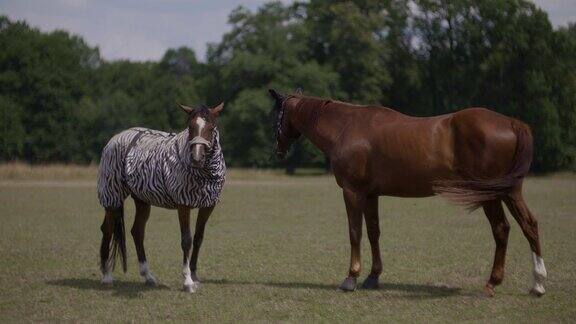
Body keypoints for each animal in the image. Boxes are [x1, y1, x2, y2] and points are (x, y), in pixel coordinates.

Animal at [97, 102, 225, 292]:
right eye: (190, 127)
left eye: (211, 127)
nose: (197, 158)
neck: (204, 174)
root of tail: (116, 138)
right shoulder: (183, 204)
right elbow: (186, 240)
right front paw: (187, 281)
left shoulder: (208, 205)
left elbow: (198, 238)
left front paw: (194, 276)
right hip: (112, 197)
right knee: (108, 229)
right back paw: (106, 276)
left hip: (142, 200)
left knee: (137, 231)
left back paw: (148, 276)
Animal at [268, 88, 548, 296]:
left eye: (278, 115)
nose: (278, 149)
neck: (346, 127)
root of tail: (511, 122)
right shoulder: (371, 194)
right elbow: (374, 232)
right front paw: (372, 277)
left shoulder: (352, 191)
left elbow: (355, 232)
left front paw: (351, 278)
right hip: (510, 192)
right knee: (529, 225)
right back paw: (538, 284)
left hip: (490, 195)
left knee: (501, 229)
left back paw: (492, 283)